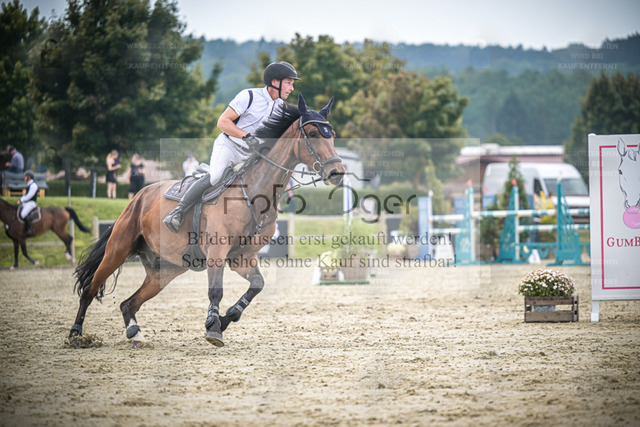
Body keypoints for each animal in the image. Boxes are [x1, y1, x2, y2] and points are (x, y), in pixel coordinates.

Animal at [69, 94, 345, 347]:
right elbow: (216, 290)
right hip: (118, 249)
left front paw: (225, 319)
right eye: (312, 132)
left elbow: (257, 285)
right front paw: (213, 328)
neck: (254, 194)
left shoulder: (243, 257)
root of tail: (139, 196)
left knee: (129, 304)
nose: (337, 172)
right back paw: (76, 333)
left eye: (331, 134)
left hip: (165, 271)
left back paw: (135, 333)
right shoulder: (217, 251)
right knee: (90, 289)